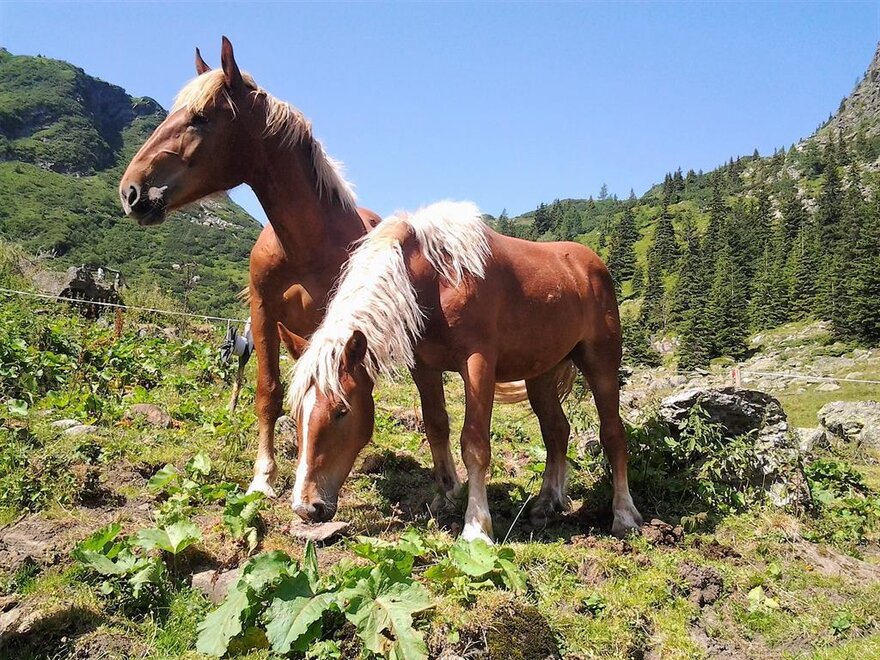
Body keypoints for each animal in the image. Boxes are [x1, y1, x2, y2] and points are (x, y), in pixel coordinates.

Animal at [118, 38, 561, 499]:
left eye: (200, 119)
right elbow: (269, 392)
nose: (132, 192)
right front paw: (264, 478)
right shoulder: (263, 312)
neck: (302, 246)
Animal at [280, 200, 643, 542]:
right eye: (297, 413)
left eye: (341, 411)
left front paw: (477, 526)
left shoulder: (478, 362)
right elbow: (436, 426)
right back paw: (546, 504)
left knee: (612, 434)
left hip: (601, 361)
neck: (436, 278)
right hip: (540, 372)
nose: (306, 507)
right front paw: (446, 498)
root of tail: (590, 264)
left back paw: (625, 515)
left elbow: (474, 443)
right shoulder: (423, 366)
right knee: (556, 430)